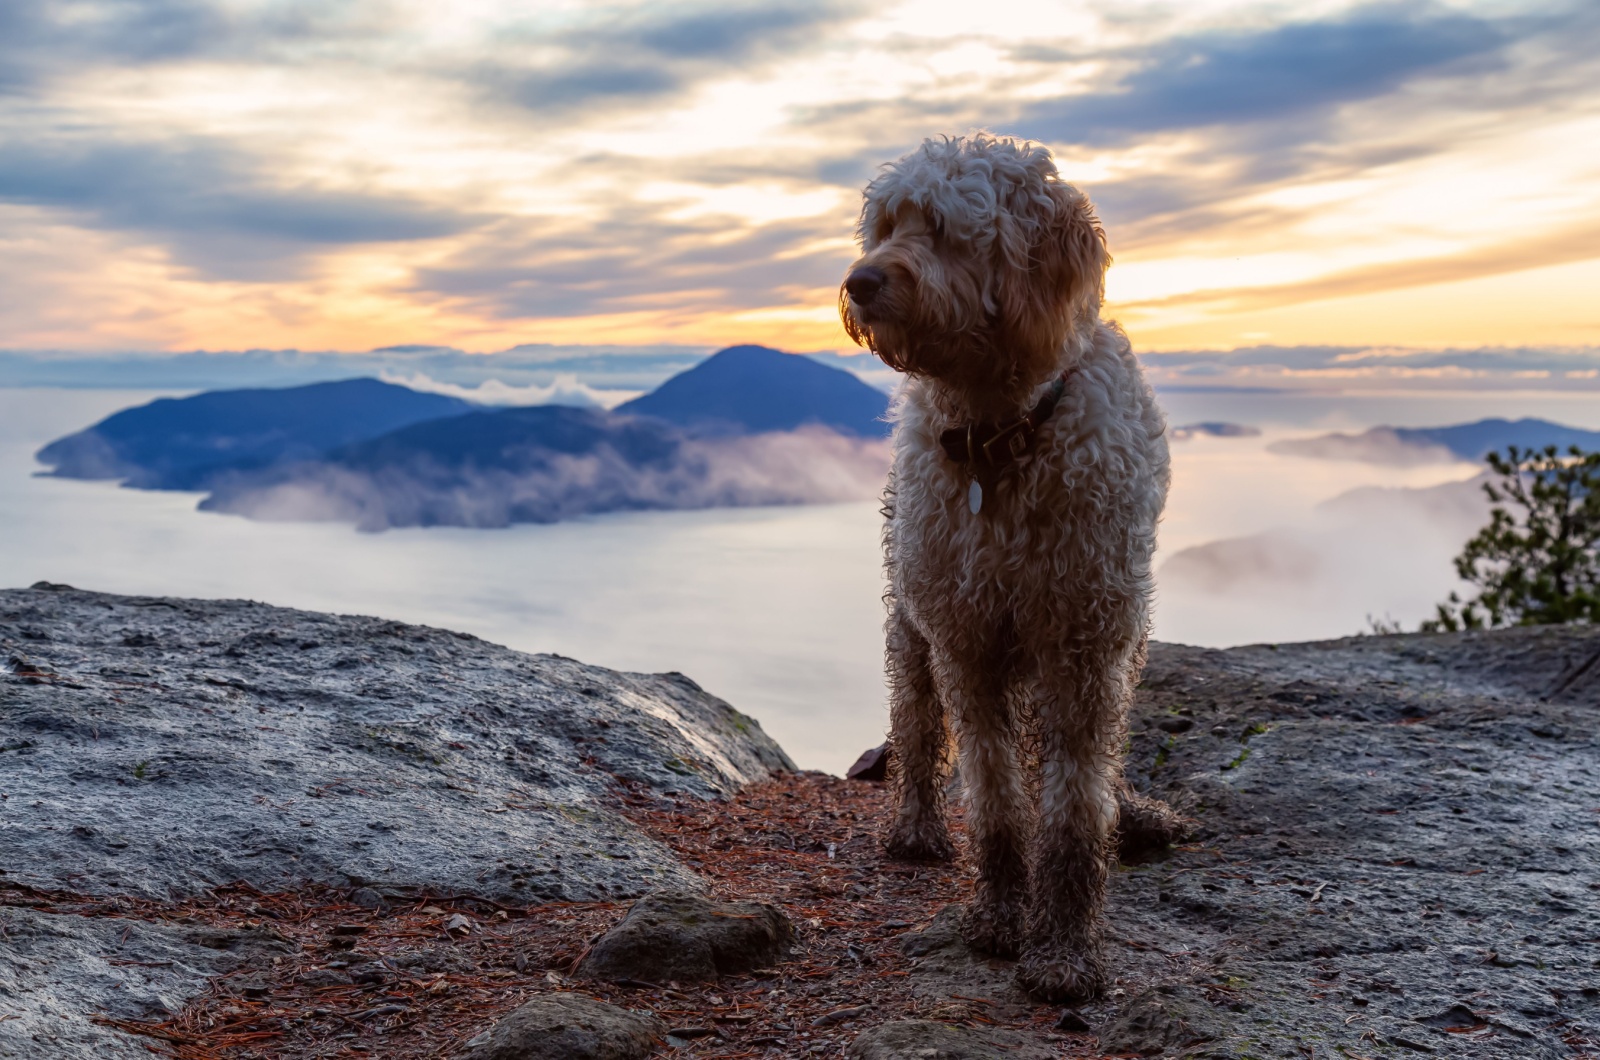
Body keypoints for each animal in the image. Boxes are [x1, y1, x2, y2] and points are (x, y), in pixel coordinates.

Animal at [838, 135, 1190, 1005]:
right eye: (885, 224)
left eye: (942, 227)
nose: (860, 281)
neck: (1002, 438)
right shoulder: (968, 645)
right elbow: (997, 801)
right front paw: (1000, 915)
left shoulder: (1087, 645)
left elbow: (1073, 810)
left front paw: (1064, 948)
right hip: (911, 622)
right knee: (916, 725)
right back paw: (917, 824)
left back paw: (1132, 810)